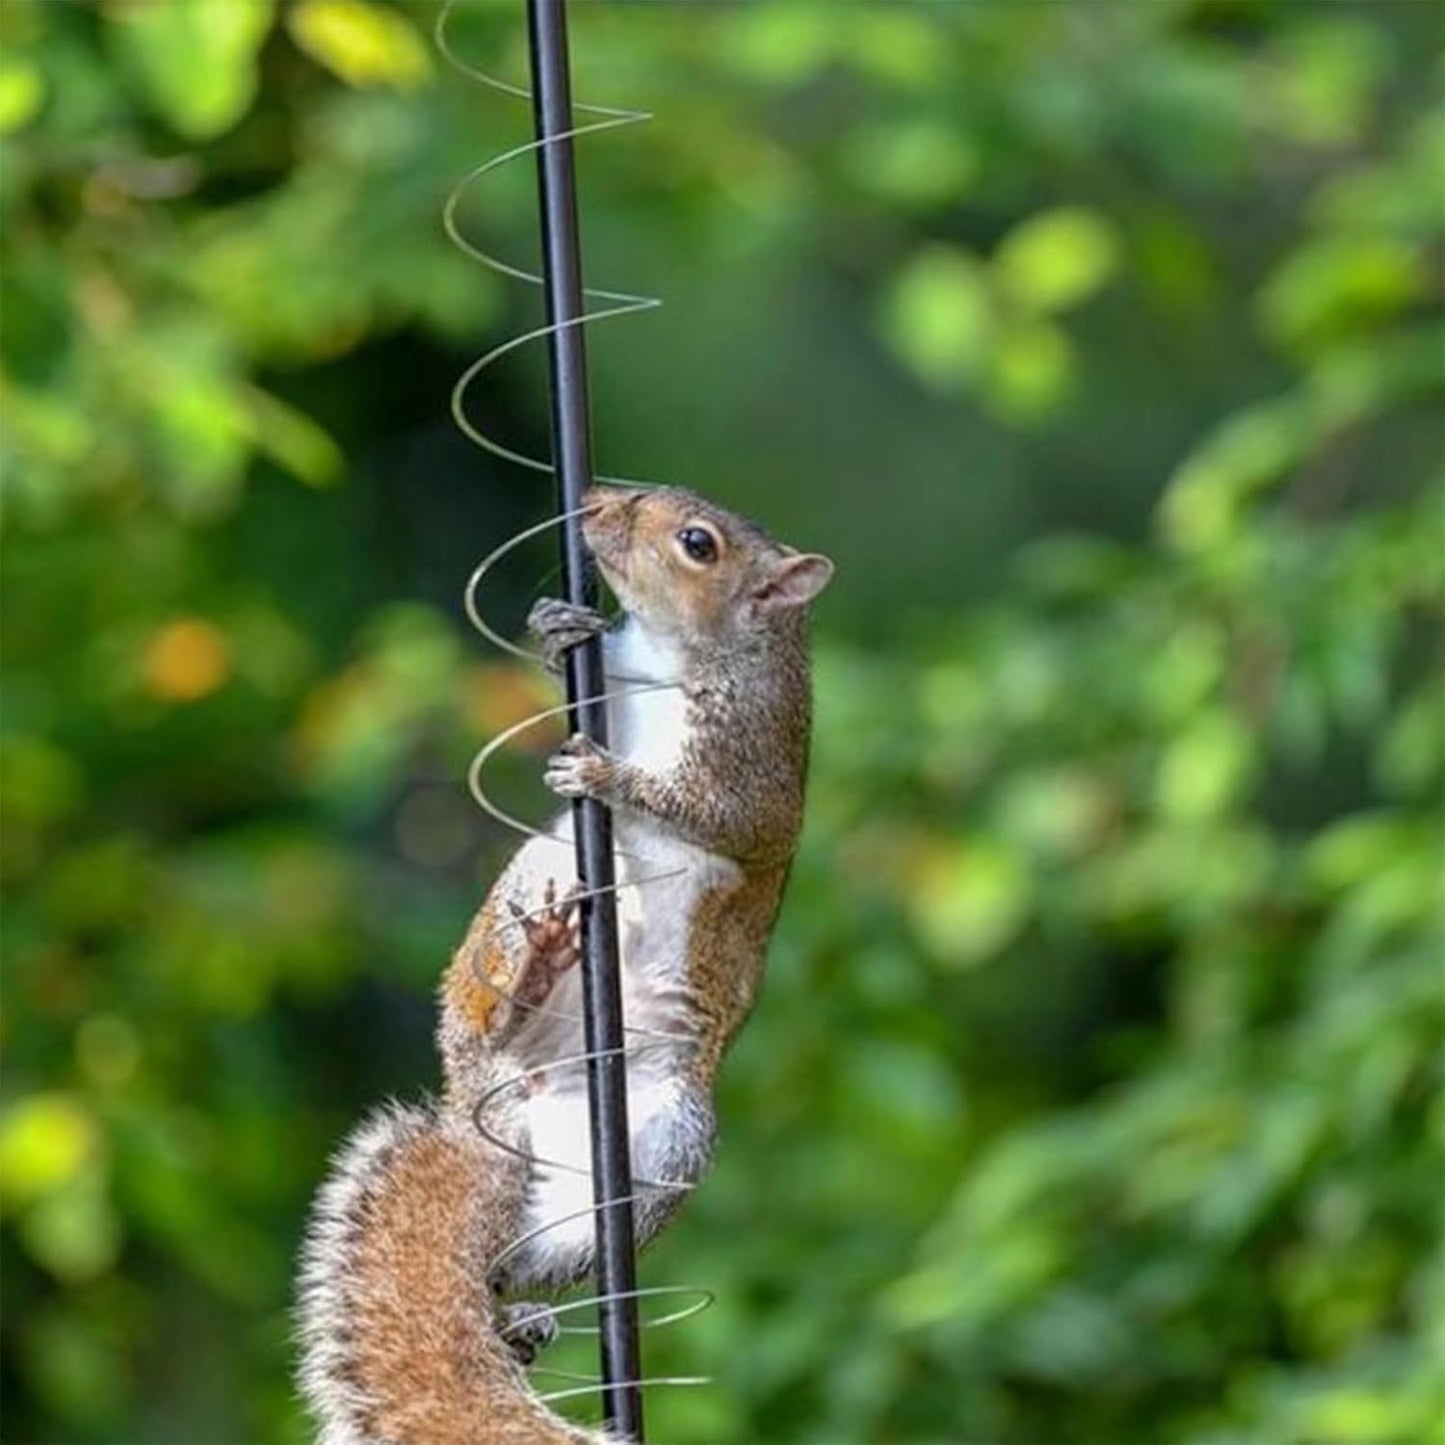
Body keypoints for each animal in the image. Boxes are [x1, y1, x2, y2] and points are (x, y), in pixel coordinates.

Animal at [296, 483, 834, 1444]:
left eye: (698, 543)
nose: (595, 500)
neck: (671, 650)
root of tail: (492, 1098)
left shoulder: (753, 762)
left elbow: (714, 813)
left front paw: (613, 778)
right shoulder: (612, 678)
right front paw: (551, 630)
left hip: (657, 1147)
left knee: (522, 1258)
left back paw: (515, 1318)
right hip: (538, 876)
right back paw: (535, 971)